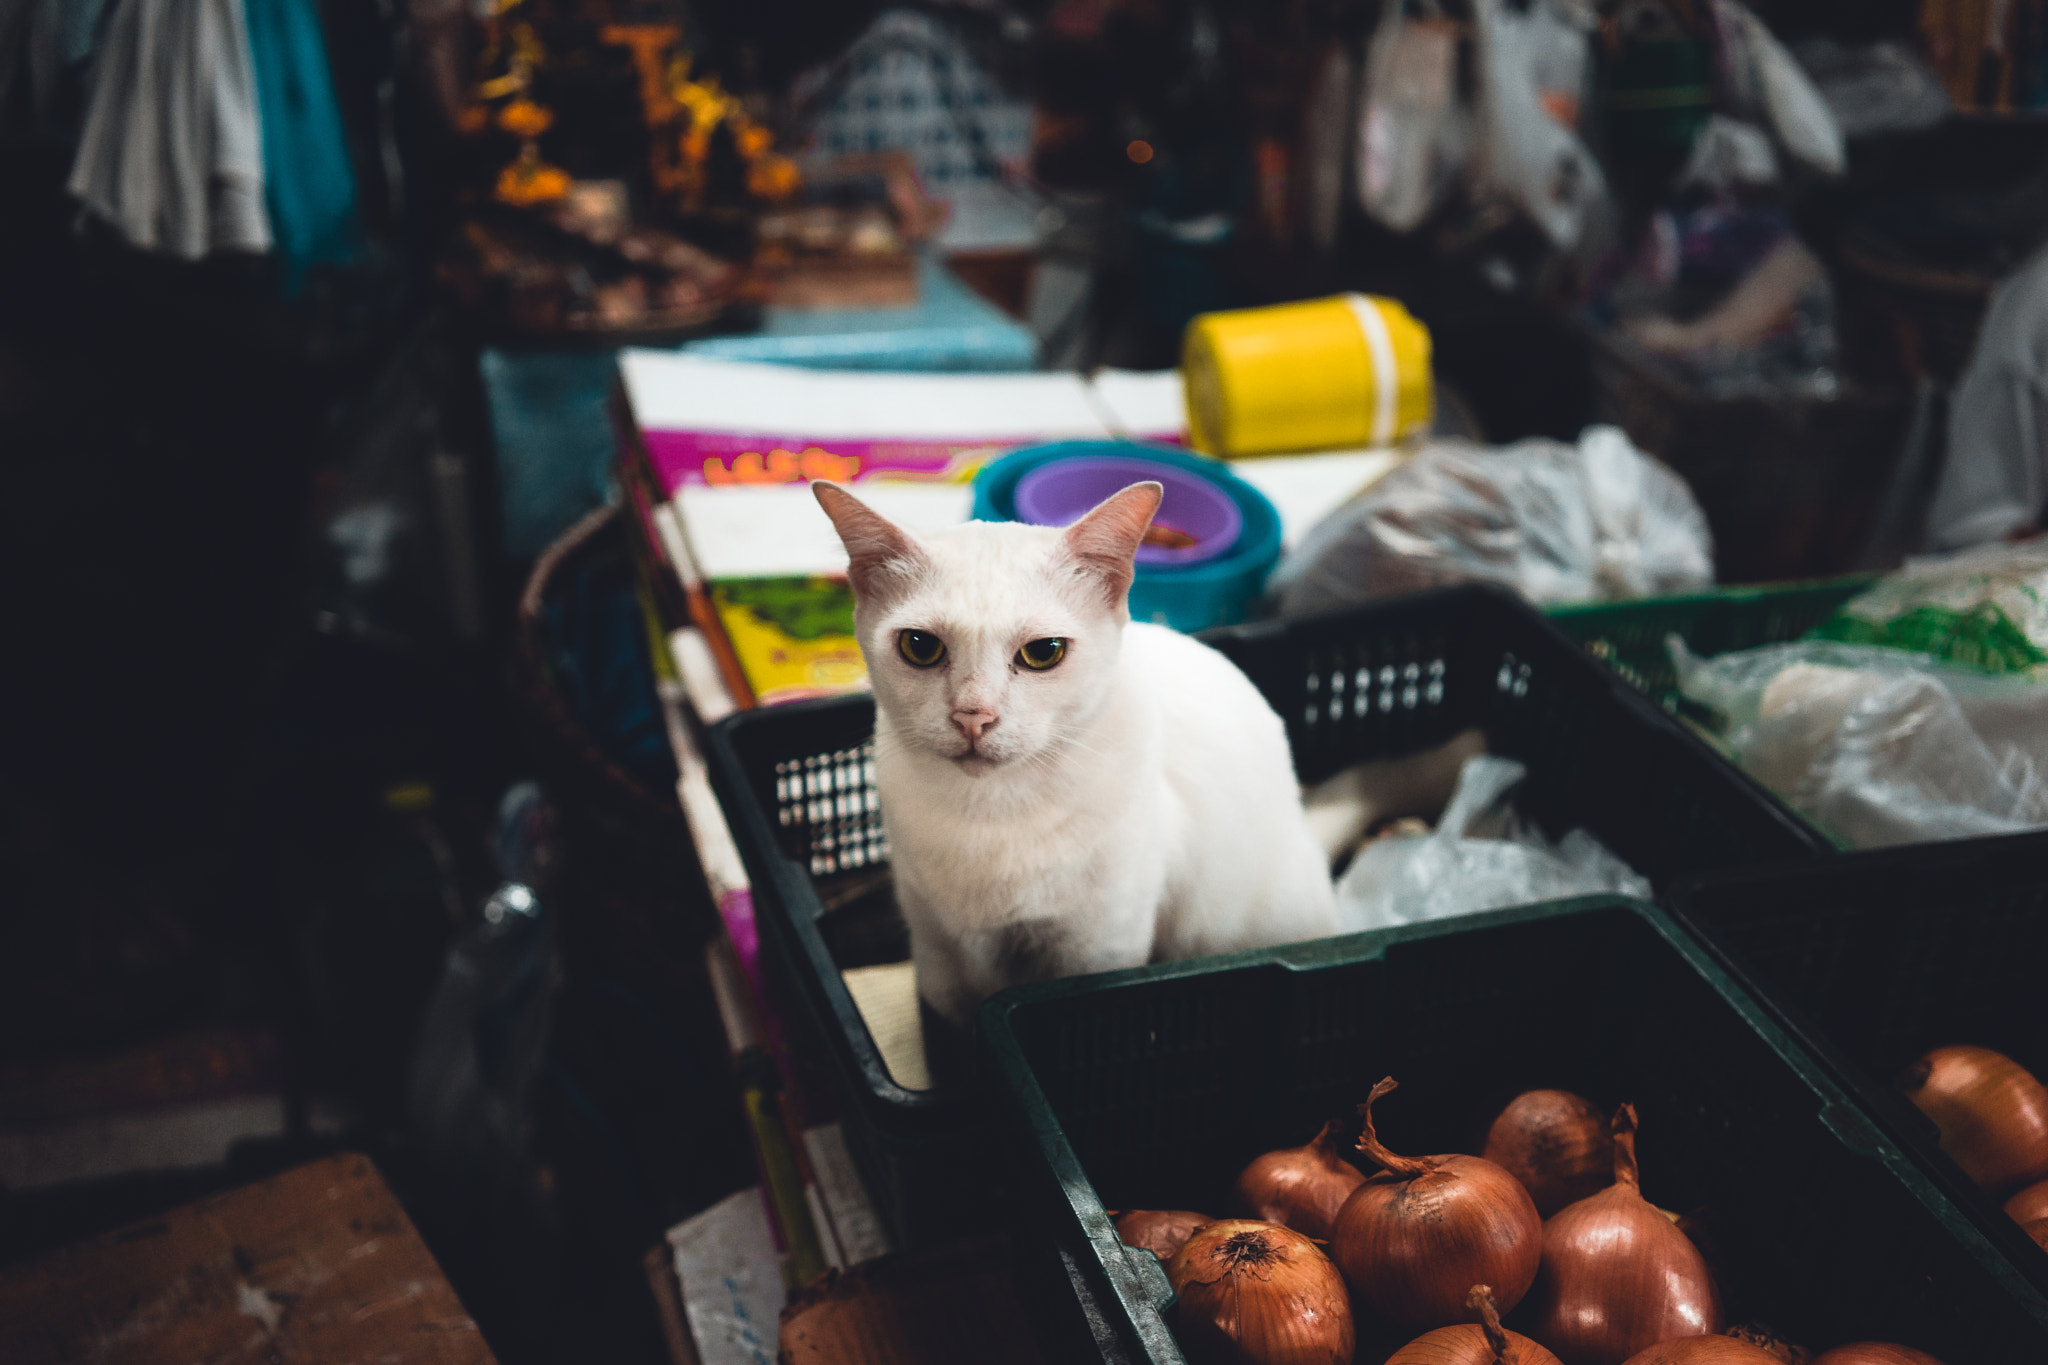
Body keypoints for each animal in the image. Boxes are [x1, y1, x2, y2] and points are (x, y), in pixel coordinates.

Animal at [806, 480, 1351, 1023]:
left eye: (1043, 653)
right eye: (920, 646)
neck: (994, 813)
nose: (973, 716)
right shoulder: (941, 949)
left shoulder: (1098, 945)